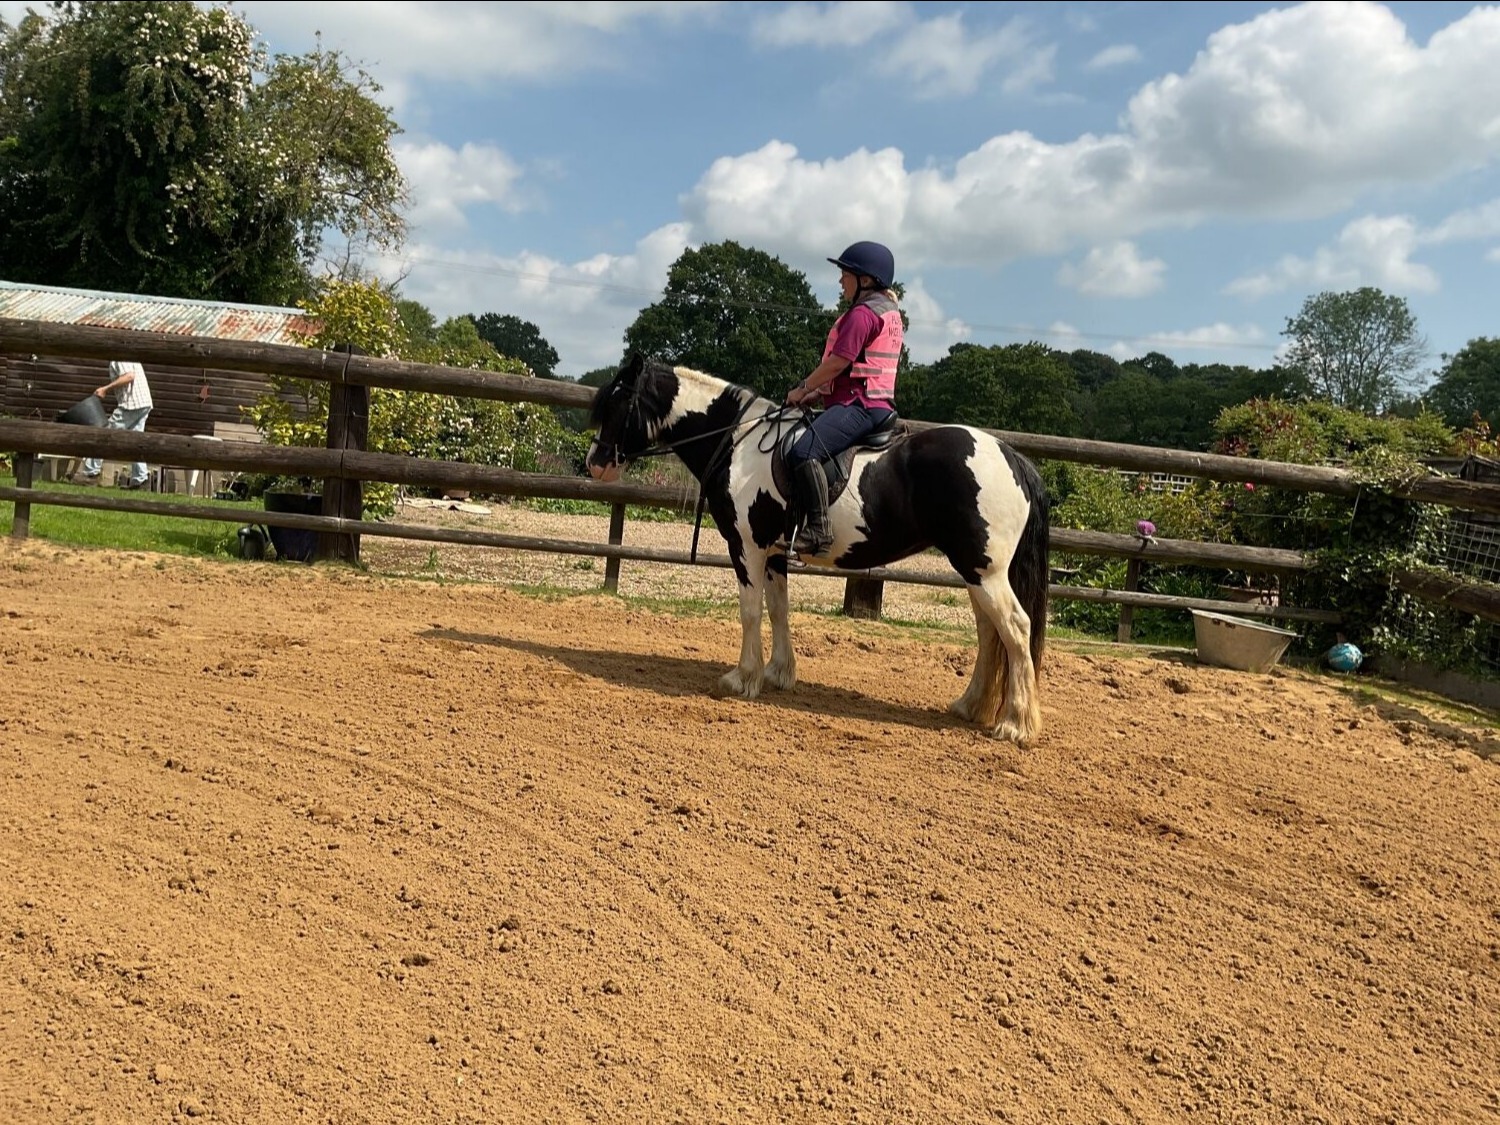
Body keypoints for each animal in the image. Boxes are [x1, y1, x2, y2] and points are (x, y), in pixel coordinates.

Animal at [585, 354, 1051, 746]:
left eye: (618, 404)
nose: (595, 463)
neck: (739, 442)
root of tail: (1013, 458)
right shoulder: (774, 553)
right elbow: (778, 608)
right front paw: (778, 673)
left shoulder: (747, 547)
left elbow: (750, 611)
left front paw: (743, 677)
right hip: (975, 571)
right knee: (990, 634)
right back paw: (970, 706)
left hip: (984, 571)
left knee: (1015, 628)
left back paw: (1016, 725)